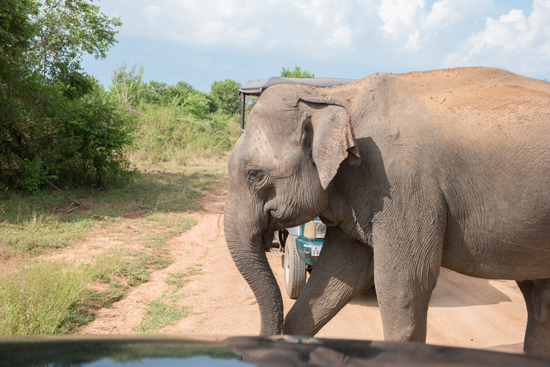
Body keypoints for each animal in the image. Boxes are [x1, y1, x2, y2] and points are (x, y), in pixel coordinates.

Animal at [224, 66, 550, 354]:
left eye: (254, 174)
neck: (333, 95)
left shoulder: (405, 186)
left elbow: (406, 282)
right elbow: (338, 275)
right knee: (539, 301)